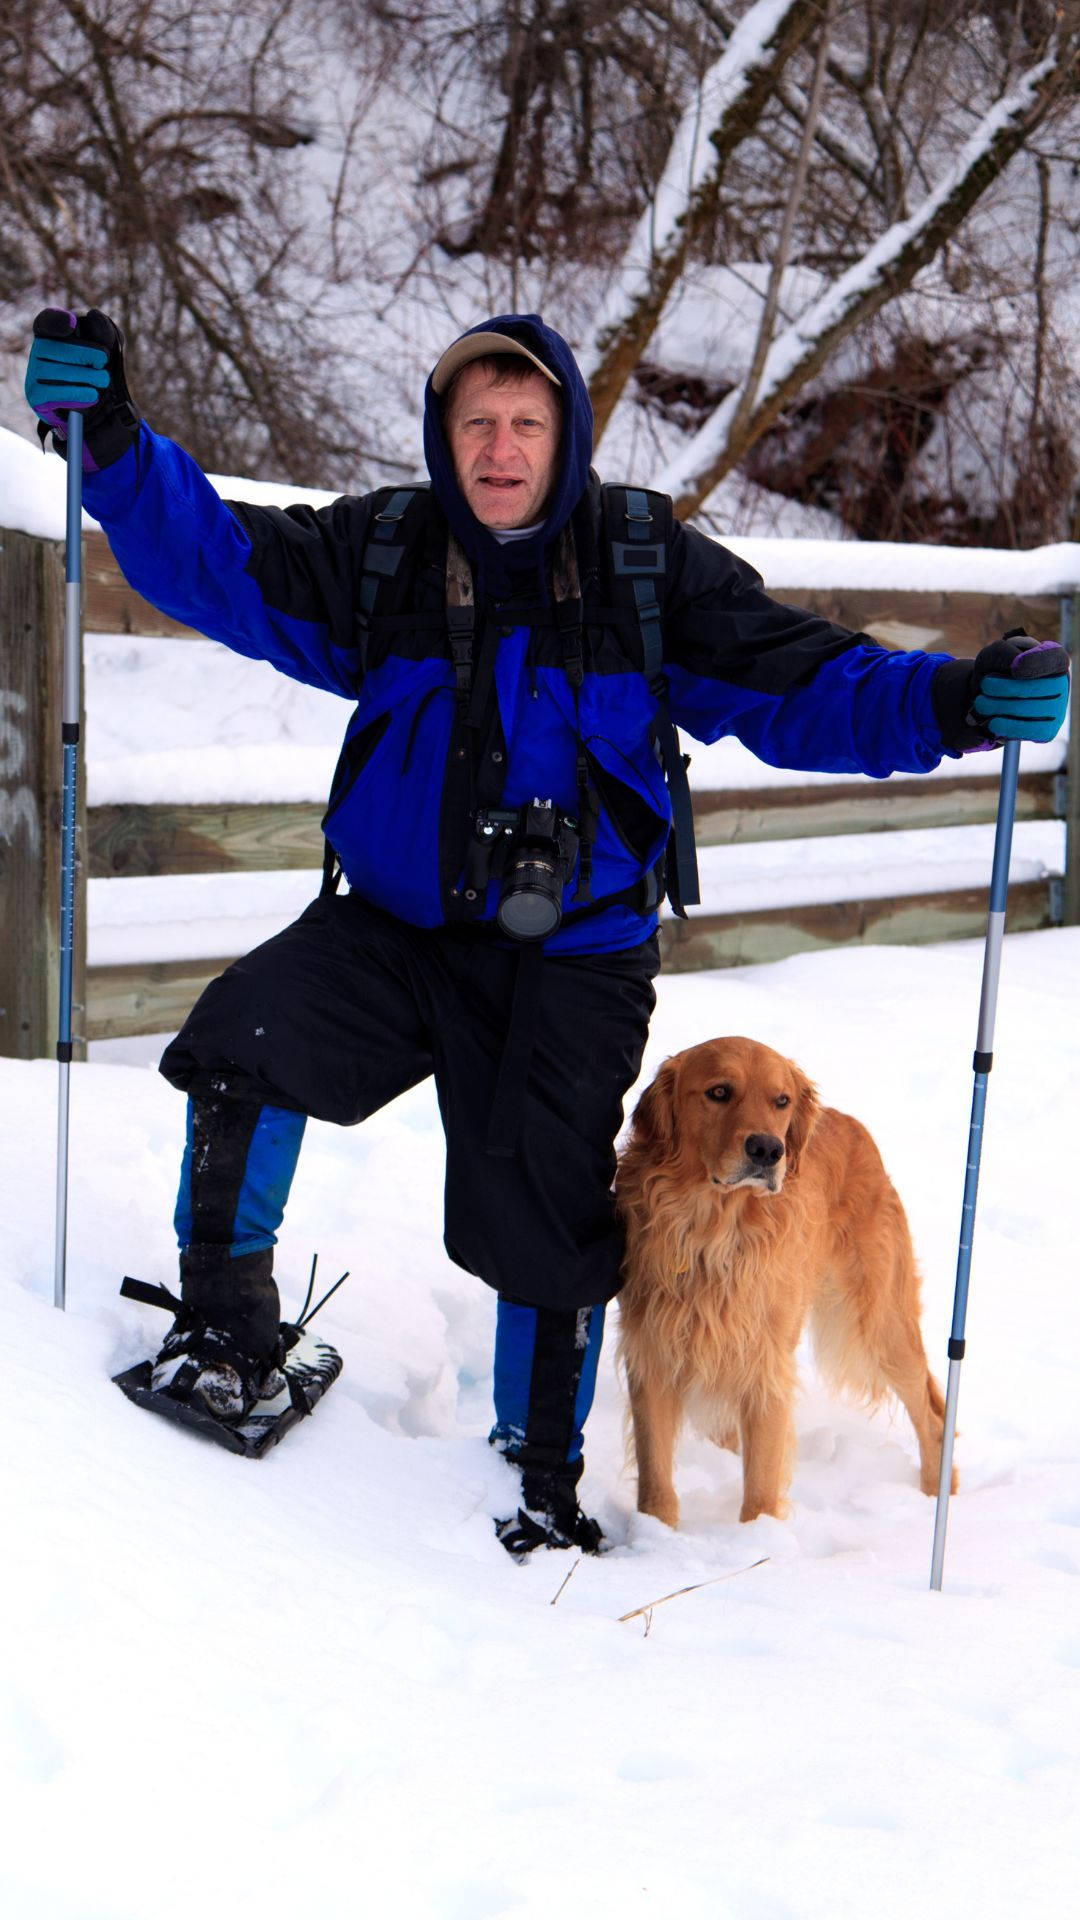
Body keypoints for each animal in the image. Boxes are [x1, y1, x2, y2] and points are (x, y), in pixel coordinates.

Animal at [614, 1036, 949, 1528]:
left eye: (781, 1101)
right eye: (719, 1092)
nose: (769, 1150)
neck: (716, 1232)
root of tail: (853, 1125)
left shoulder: (766, 1363)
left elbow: (761, 1481)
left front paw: (757, 1537)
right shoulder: (652, 1352)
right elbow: (656, 1476)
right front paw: (656, 1534)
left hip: (881, 1323)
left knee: (933, 1415)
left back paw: (934, 1499)